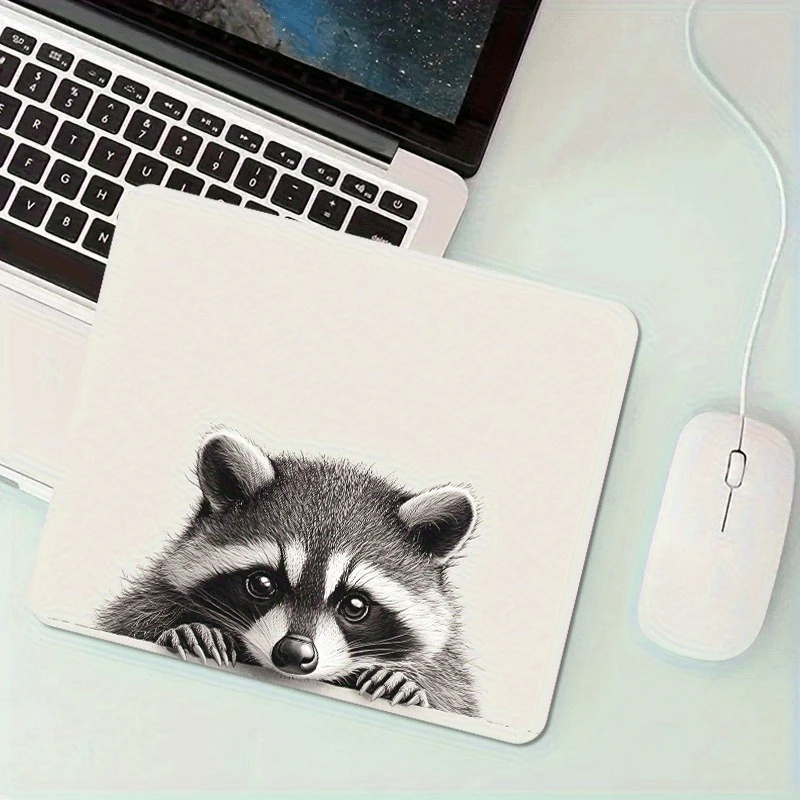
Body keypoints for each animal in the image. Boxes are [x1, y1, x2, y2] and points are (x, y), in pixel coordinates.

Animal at [96, 430, 480, 716]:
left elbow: (450, 693)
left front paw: (405, 679)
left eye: (355, 606)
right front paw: (189, 629)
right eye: (262, 583)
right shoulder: (154, 593)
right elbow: (128, 621)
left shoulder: (449, 671)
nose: (294, 654)